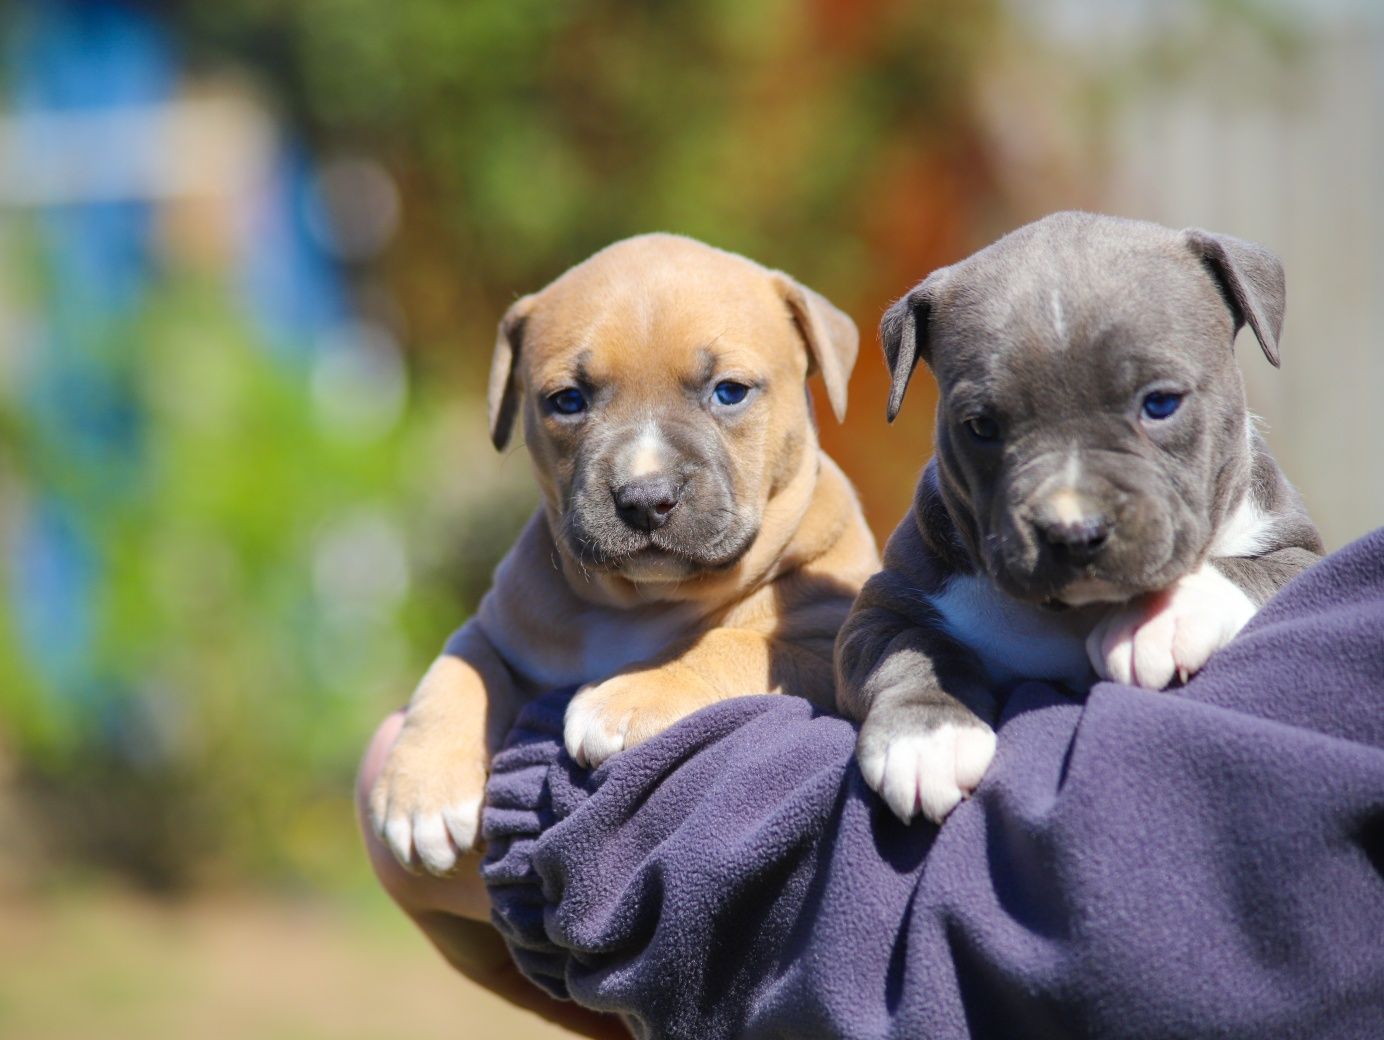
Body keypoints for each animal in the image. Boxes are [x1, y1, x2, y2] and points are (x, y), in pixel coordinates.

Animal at [835, 211, 1323, 825]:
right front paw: (926, 737)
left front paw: (1159, 619)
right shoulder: (886, 604)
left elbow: (1248, 570)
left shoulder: (1300, 553)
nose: (1073, 531)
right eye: (981, 426)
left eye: (1160, 403)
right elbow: (905, 650)